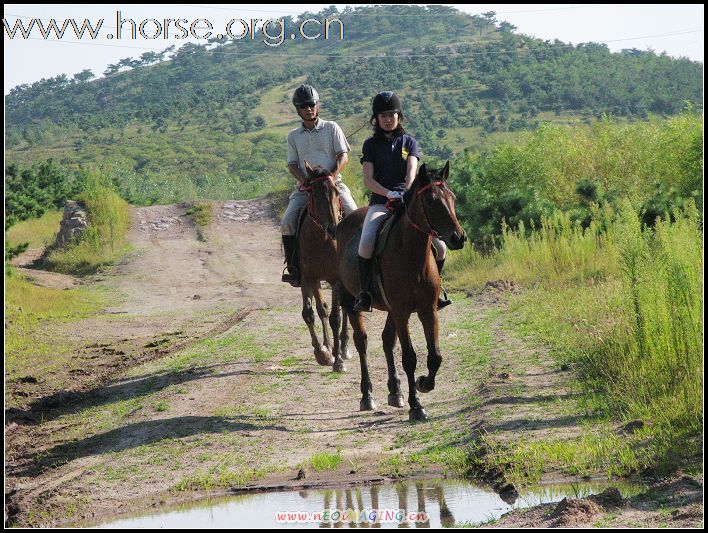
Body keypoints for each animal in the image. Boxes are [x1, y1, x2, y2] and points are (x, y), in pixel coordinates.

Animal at [298, 164, 352, 372]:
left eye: (336, 191)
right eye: (315, 193)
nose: (333, 228)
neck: (321, 238)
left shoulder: (336, 278)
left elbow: (336, 318)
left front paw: (338, 362)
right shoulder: (308, 278)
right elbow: (309, 313)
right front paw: (322, 354)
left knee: (345, 309)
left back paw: (343, 349)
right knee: (322, 310)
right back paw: (330, 347)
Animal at [336, 162, 468, 420]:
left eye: (453, 197)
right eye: (430, 201)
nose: (459, 238)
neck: (411, 255)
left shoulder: (428, 310)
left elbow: (435, 356)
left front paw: (424, 383)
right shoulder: (401, 312)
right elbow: (409, 358)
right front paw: (416, 406)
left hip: (391, 310)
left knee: (387, 340)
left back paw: (395, 392)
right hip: (354, 302)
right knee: (361, 342)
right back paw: (367, 397)